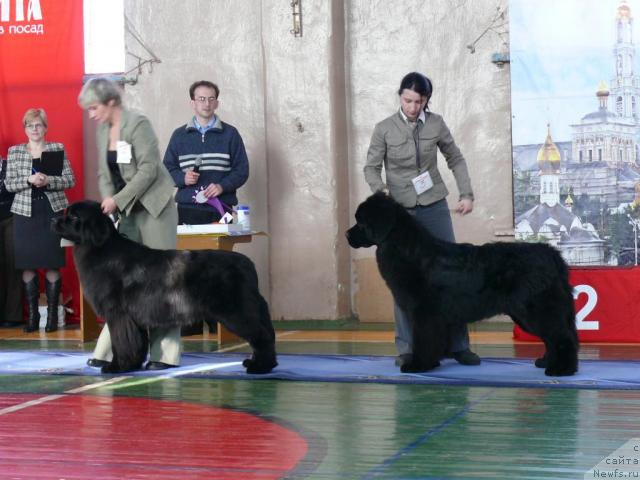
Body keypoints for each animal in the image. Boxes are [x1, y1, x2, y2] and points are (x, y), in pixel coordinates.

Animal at [51, 201, 276, 374]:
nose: (53, 220)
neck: (102, 249)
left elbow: (120, 342)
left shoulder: (118, 314)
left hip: (236, 312)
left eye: (73, 216)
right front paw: (132, 365)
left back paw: (260, 366)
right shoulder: (132, 318)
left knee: (261, 335)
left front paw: (116, 367)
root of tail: (248, 264)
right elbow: (135, 343)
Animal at [348, 193, 576, 376]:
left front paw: (418, 365)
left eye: (361, 222)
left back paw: (561, 370)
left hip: (536, 309)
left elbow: (424, 340)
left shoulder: (425, 313)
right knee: (555, 338)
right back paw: (547, 362)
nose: (346, 235)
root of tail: (552, 254)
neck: (409, 250)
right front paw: (431, 363)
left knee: (562, 337)